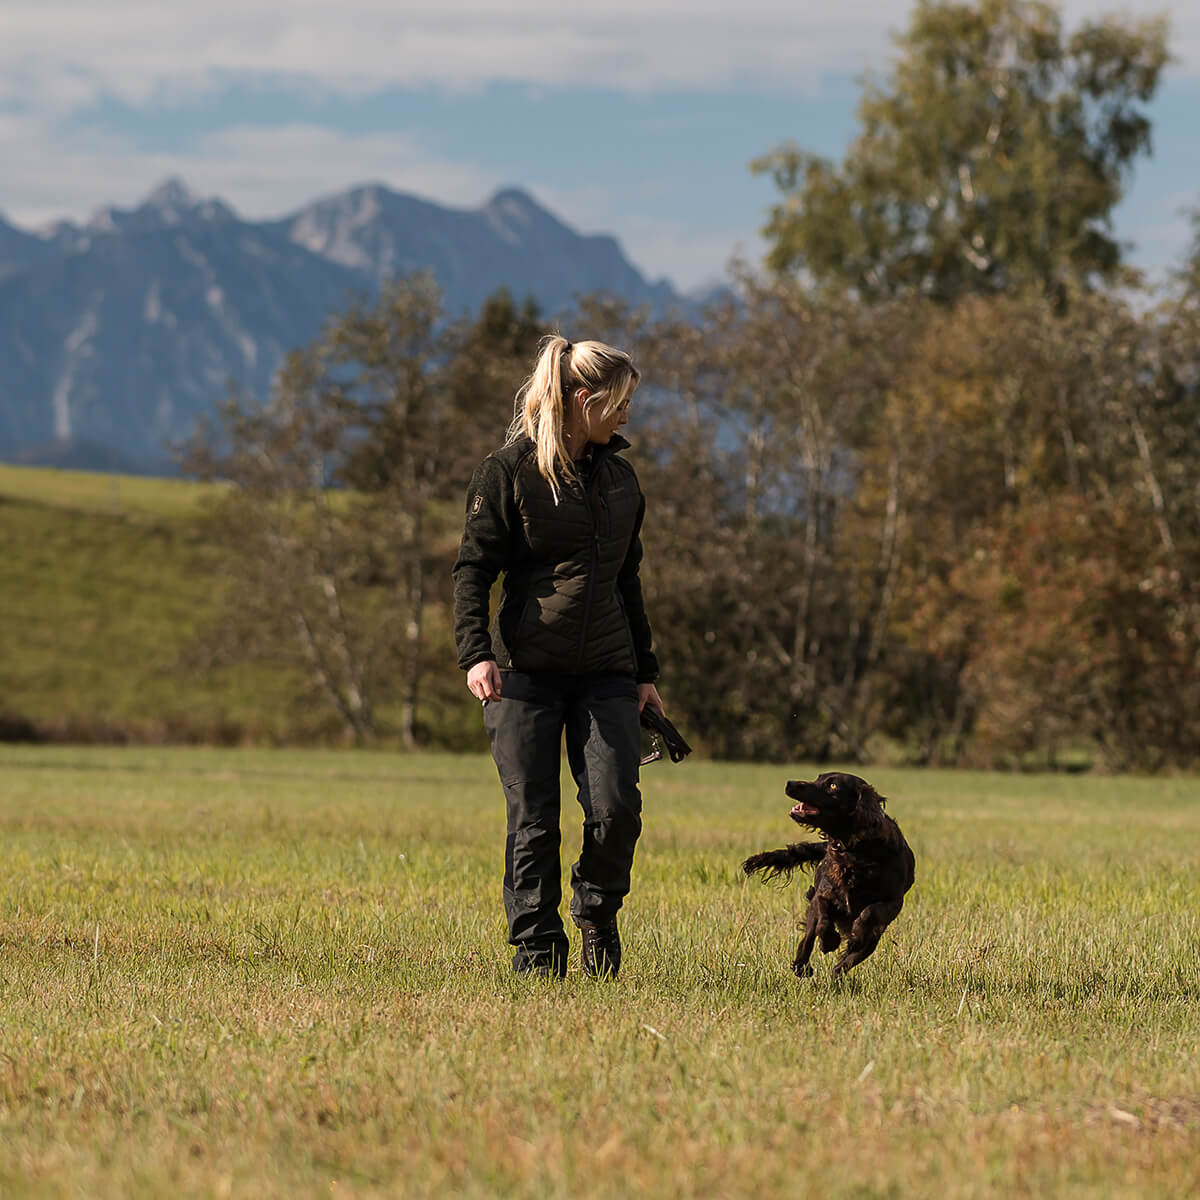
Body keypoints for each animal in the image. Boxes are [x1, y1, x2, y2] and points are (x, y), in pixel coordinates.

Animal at [739, 772, 916, 979]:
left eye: (833, 786)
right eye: (818, 778)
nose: (790, 783)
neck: (856, 851)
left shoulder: (893, 902)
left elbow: (869, 912)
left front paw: (856, 934)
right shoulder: (823, 892)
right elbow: (822, 920)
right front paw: (828, 941)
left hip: (874, 938)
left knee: (850, 959)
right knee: (809, 936)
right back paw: (802, 965)